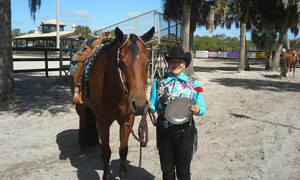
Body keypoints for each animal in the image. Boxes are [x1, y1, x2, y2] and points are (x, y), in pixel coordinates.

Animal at [70, 26, 155, 179]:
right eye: (121, 63)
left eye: (148, 62)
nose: (140, 105)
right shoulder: (103, 120)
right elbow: (106, 152)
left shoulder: (127, 120)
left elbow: (123, 150)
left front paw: (123, 175)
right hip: (81, 106)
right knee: (83, 121)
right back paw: (83, 149)